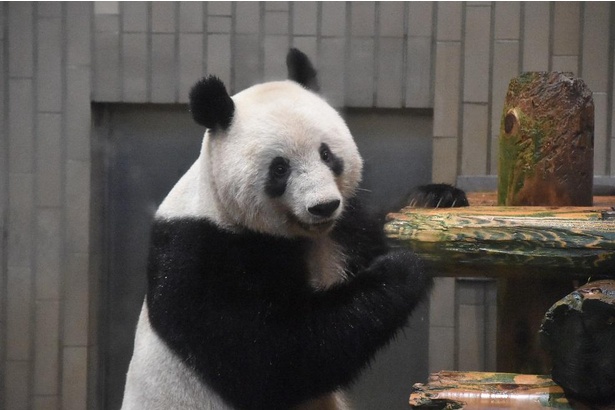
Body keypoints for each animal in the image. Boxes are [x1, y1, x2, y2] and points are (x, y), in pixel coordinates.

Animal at [119, 48, 428, 410]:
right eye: (280, 168)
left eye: (326, 154)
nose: (323, 206)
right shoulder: (202, 255)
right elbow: (272, 357)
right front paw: (402, 268)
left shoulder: (342, 229)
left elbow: (369, 236)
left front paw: (434, 197)